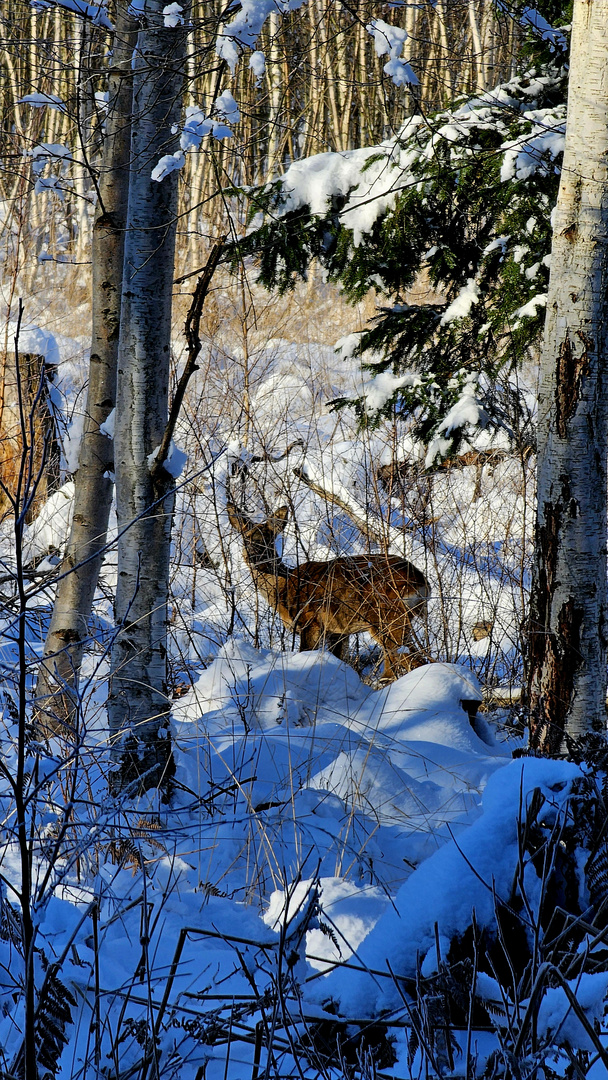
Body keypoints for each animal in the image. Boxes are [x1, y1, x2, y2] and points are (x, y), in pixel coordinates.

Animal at [225, 503, 429, 673]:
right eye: (246, 539)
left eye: (268, 539)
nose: (255, 557)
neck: (284, 587)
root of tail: (421, 581)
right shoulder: (338, 631)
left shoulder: (310, 621)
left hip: (388, 618)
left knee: (416, 661)